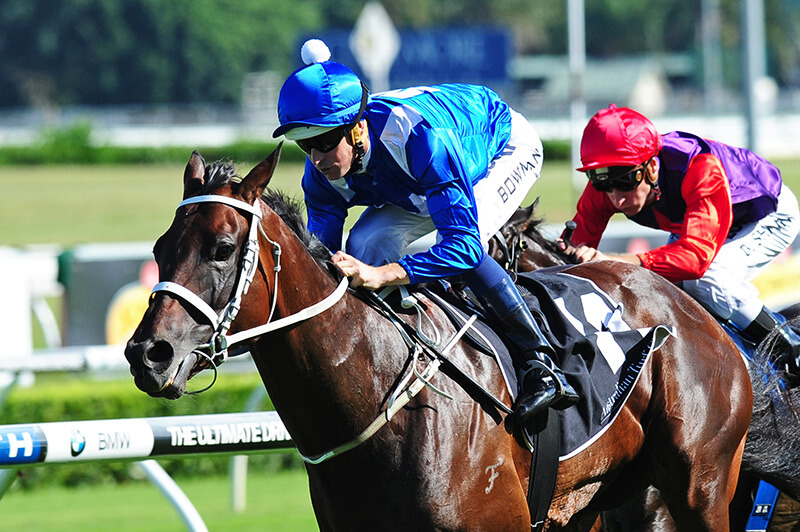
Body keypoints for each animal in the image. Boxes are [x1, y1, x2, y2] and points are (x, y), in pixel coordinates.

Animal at [122, 147, 752, 532]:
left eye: (223, 248)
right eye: (158, 249)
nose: (147, 353)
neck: (379, 401)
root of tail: (689, 309)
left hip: (699, 486)